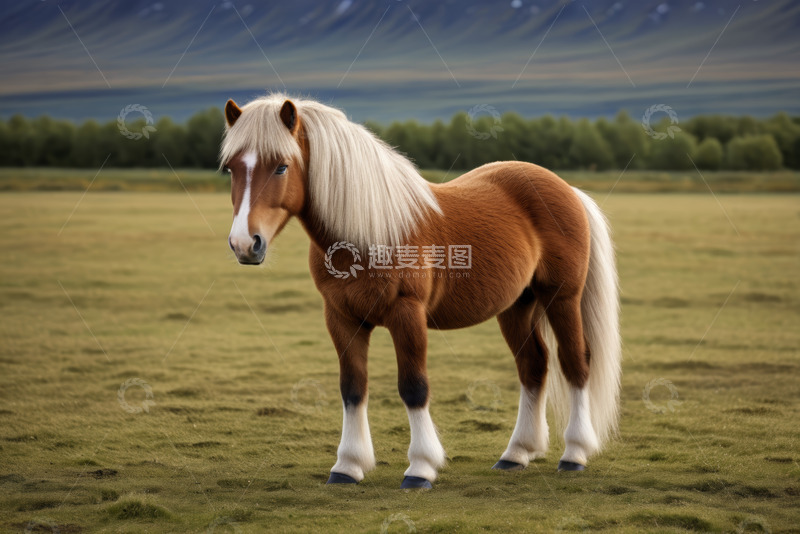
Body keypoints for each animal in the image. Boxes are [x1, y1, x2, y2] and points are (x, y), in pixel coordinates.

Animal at [219, 93, 621, 489]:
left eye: (281, 167)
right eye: (231, 169)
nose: (244, 244)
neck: (369, 232)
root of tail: (567, 189)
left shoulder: (406, 314)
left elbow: (413, 387)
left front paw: (421, 468)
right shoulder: (341, 317)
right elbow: (352, 387)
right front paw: (347, 466)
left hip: (561, 299)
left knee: (575, 363)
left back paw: (574, 454)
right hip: (517, 307)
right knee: (533, 366)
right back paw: (516, 454)